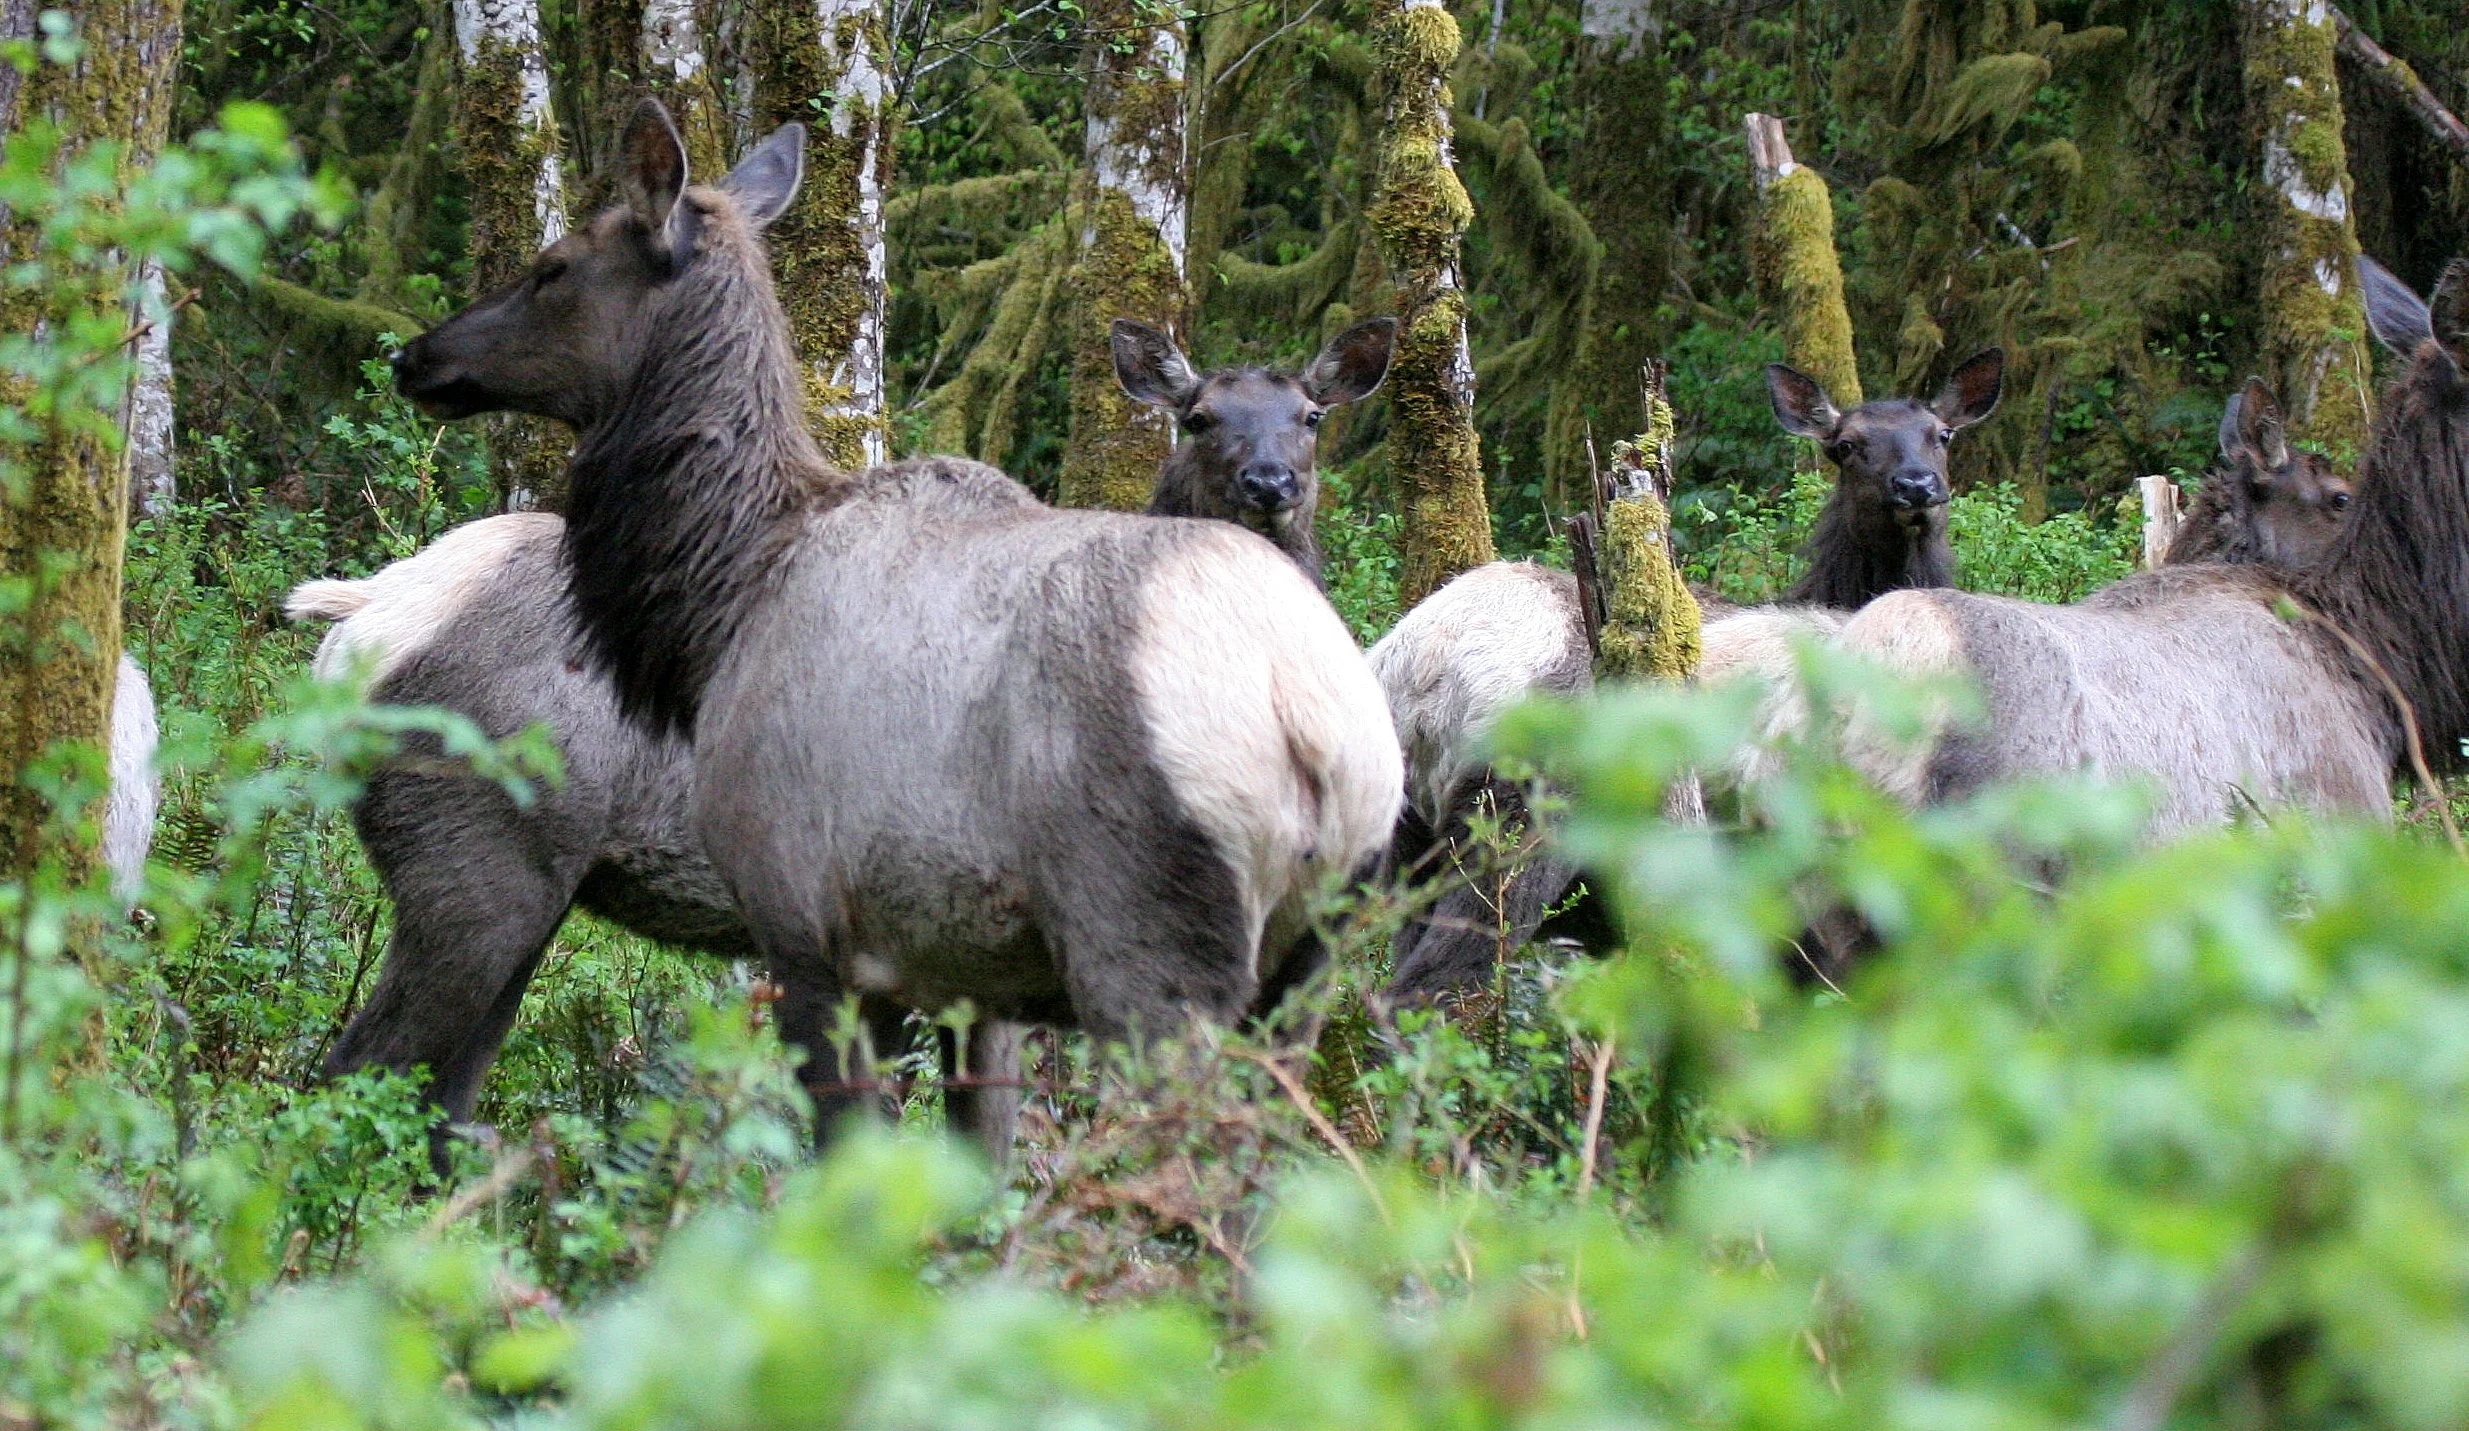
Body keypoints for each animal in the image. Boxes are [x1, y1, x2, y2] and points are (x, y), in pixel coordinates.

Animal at [329, 101, 1401, 1160]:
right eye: (1200, 417)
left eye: (553, 265)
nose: (416, 355)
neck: (724, 606)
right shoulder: (953, 975)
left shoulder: (806, 923)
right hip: (1301, 961)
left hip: (1143, 940)